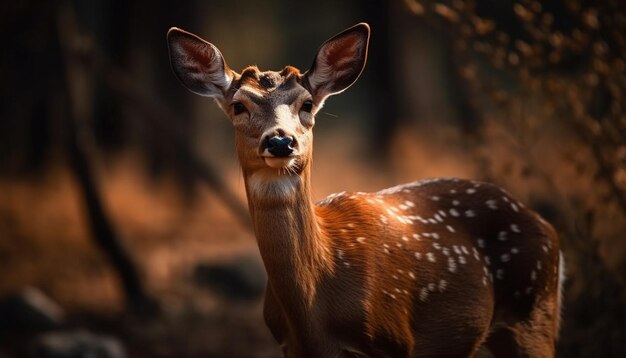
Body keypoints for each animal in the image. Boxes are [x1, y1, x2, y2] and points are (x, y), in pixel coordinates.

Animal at [166, 23, 560, 356]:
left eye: (306, 104)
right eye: (238, 106)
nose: (280, 141)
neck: (313, 316)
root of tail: (547, 227)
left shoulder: (394, 340)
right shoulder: (290, 346)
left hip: (533, 317)